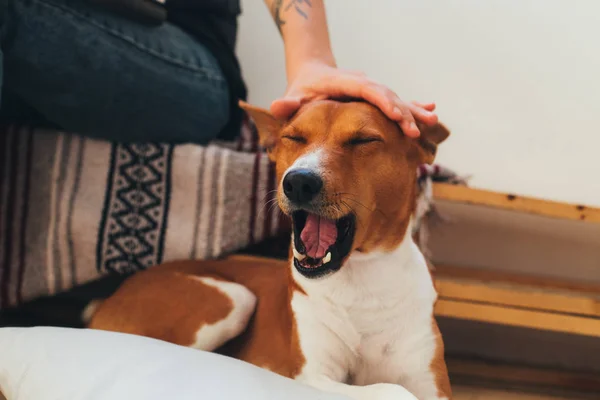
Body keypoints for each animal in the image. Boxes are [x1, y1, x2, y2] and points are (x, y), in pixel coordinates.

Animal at [86, 99, 452, 400]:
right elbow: (391, 390)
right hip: (233, 297)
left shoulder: (430, 383)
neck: (361, 282)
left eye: (364, 140)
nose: (299, 181)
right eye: (294, 138)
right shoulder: (311, 376)